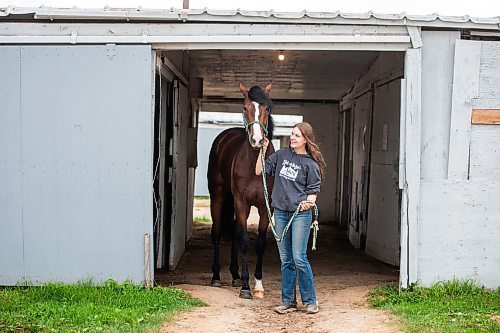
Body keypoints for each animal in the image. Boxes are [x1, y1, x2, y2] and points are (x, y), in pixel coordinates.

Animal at [208, 81, 278, 298]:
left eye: (267, 108)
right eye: (244, 107)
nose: (257, 140)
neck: (254, 164)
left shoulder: (266, 207)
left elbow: (260, 243)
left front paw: (258, 286)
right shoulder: (242, 203)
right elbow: (246, 241)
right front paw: (247, 288)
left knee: (235, 232)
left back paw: (235, 275)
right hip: (219, 195)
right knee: (217, 232)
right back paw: (216, 277)